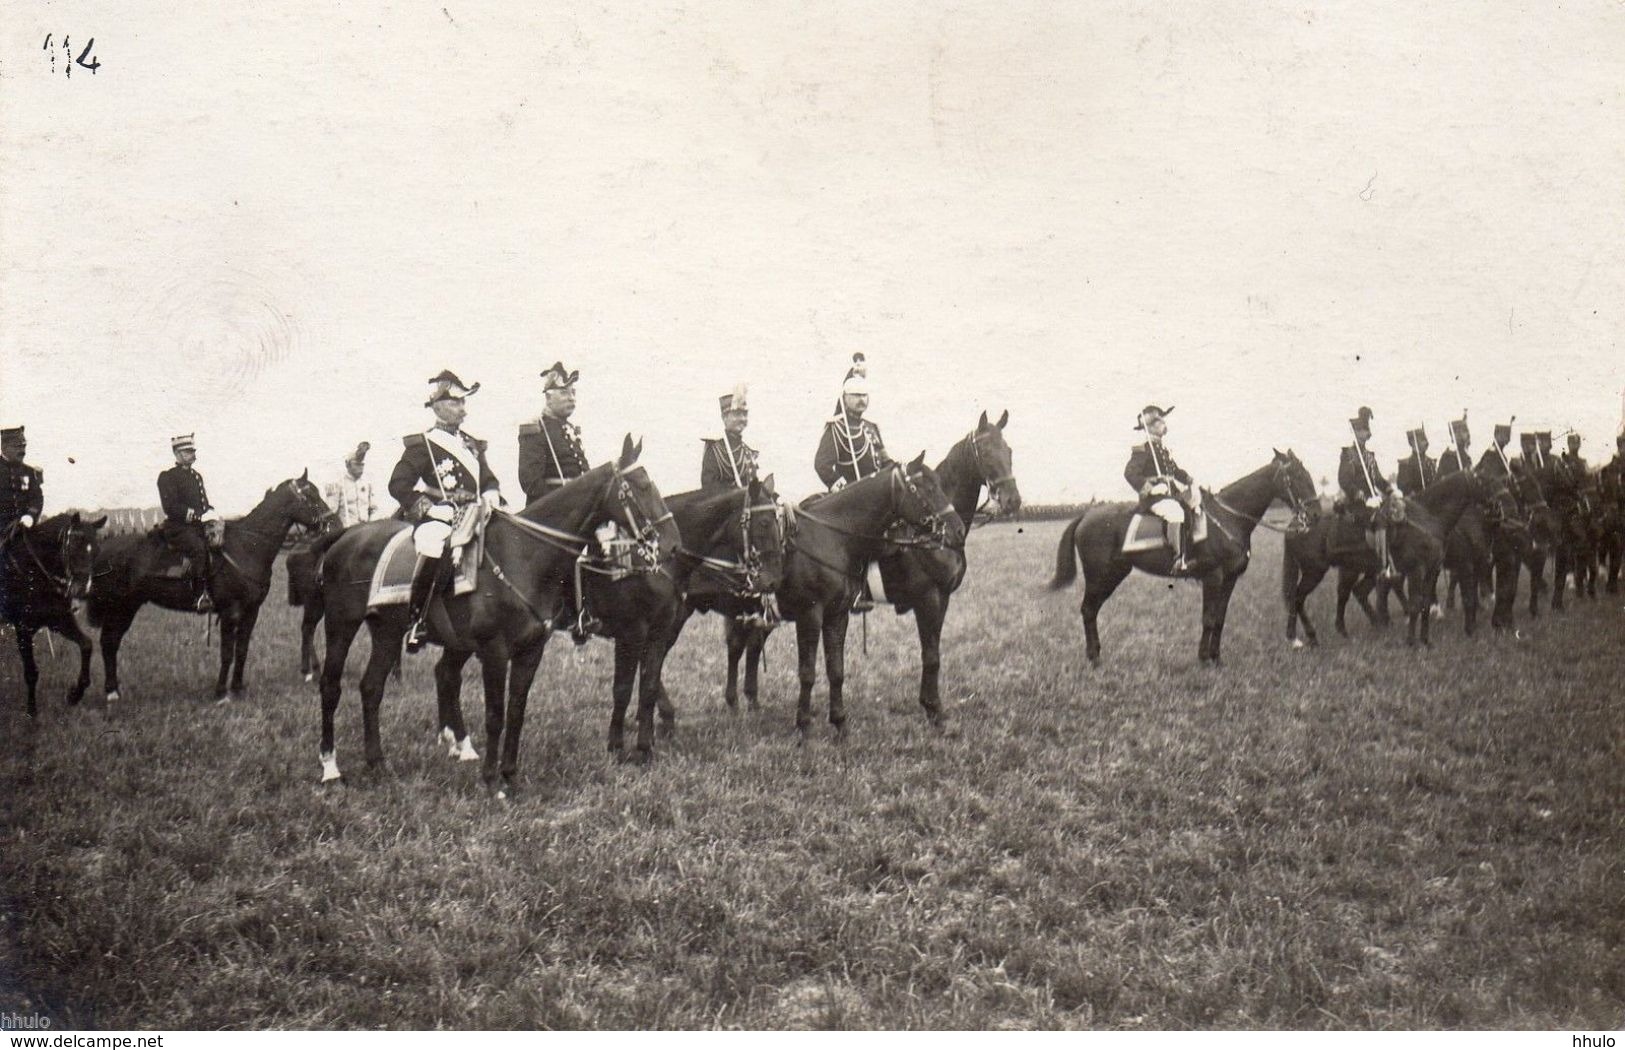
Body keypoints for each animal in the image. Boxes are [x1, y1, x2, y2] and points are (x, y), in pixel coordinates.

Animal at [88, 477, 333, 708]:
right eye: (310, 495)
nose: (331, 521)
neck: (247, 547)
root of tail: (103, 550)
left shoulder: (251, 612)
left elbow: (242, 649)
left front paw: (238, 688)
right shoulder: (230, 612)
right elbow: (227, 652)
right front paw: (221, 693)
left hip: (128, 607)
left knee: (111, 642)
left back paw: (114, 691)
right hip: (119, 607)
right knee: (108, 641)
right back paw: (111, 693)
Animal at [313, 438, 676, 802]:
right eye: (642, 485)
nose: (671, 543)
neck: (523, 555)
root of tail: (347, 536)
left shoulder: (531, 651)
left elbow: (516, 711)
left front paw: (510, 775)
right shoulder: (495, 651)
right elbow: (495, 715)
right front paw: (491, 780)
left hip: (388, 632)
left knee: (373, 687)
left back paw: (379, 762)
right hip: (341, 624)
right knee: (331, 686)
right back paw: (331, 769)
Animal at [1053, 451, 1319, 666]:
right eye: (1297, 476)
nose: (1315, 514)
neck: (1228, 518)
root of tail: (1086, 516)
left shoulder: (1230, 579)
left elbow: (1220, 618)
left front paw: (1216, 658)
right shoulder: (1213, 577)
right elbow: (1208, 619)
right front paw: (1204, 659)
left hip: (1112, 575)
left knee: (1091, 610)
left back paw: (1096, 655)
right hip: (1100, 576)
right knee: (1088, 610)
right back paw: (1094, 658)